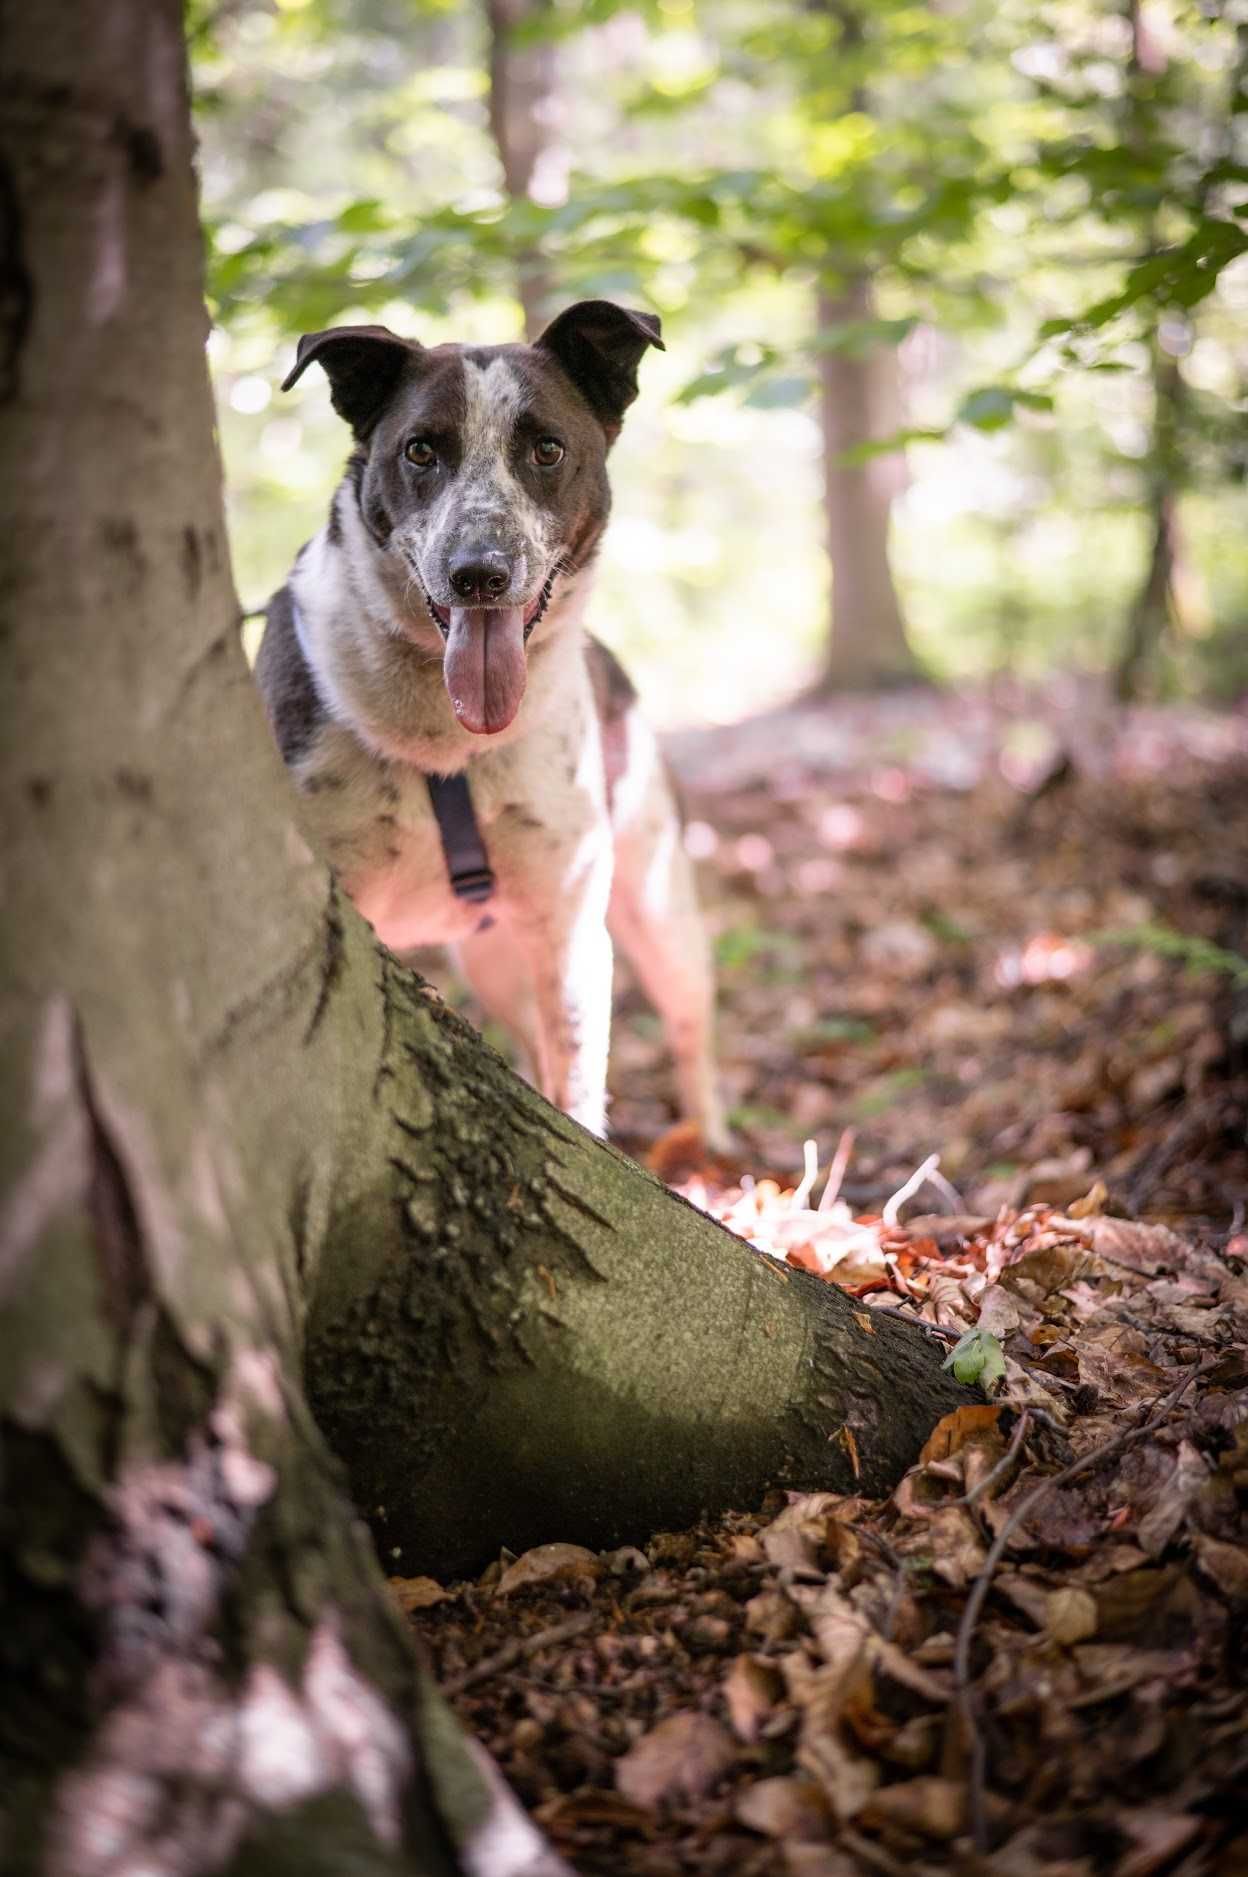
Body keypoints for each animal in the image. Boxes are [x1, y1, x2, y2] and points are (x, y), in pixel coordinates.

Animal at [257, 296, 724, 1141]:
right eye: (419, 450)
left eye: (546, 448)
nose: (479, 573)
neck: (447, 741)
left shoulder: (569, 922)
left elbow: (576, 1085)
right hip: (496, 957)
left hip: (656, 901)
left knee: (689, 1026)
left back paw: (708, 1147)